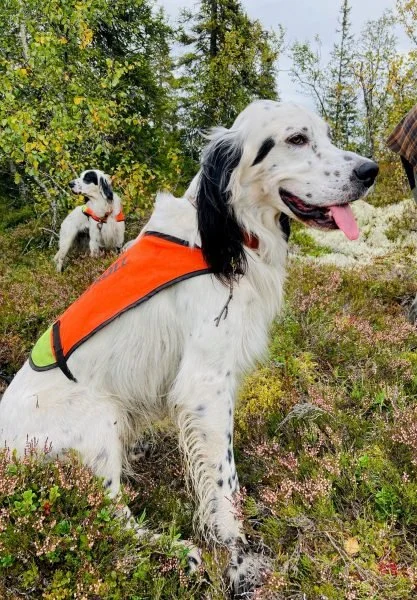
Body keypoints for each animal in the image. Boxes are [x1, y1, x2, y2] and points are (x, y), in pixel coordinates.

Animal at [0, 101, 378, 594]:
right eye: (296, 139)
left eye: (326, 135)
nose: (371, 171)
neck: (228, 231)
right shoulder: (206, 388)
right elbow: (224, 482)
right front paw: (238, 559)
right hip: (98, 419)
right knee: (111, 518)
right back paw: (177, 551)